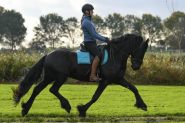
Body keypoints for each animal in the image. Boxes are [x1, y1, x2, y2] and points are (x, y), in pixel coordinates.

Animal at [12, 33, 149, 117]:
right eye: (142, 49)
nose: (136, 66)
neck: (115, 55)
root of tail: (48, 55)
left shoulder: (118, 79)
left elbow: (134, 88)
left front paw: (142, 105)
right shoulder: (105, 81)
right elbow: (95, 97)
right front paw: (82, 110)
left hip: (49, 77)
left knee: (37, 89)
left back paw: (25, 109)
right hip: (60, 77)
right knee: (53, 89)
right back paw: (66, 105)